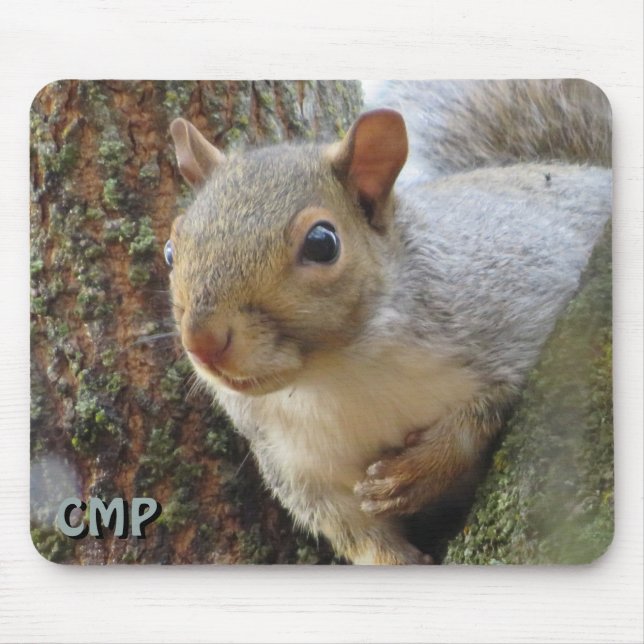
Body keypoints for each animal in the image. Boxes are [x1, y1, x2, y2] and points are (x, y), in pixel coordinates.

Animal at [165, 80, 611, 564]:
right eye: (170, 251)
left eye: (322, 243)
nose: (203, 342)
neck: (338, 374)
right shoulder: (297, 465)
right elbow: (353, 531)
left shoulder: (525, 311)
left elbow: (491, 407)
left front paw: (419, 472)